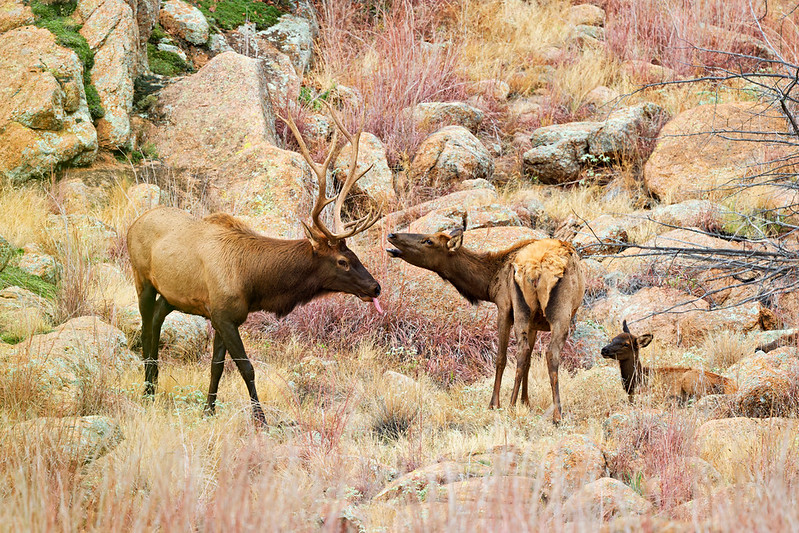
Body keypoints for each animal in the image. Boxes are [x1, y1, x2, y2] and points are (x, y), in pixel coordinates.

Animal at [127, 105, 382, 426]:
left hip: (174, 294)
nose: (376, 287)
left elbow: (217, 366)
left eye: (356, 255)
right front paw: (260, 419)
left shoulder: (223, 315)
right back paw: (147, 390)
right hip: (141, 279)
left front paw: (208, 410)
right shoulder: (223, 314)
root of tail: (134, 223)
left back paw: (153, 384)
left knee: (157, 319)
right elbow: (246, 367)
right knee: (146, 329)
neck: (253, 281)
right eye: (343, 261)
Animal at [386, 216, 585, 423]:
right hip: (543, 314)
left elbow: (502, 358)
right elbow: (525, 360)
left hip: (540, 311)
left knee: (530, 352)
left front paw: (494, 403)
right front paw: (525, 403)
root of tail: (536, 269)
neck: (489, 284)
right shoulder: (530, 321)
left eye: (429, 241)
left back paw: (527, 408)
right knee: (541, 353)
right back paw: (547, 412)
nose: (392, 235)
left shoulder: (504, 305)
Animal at [601, 320, 737, 404]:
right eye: (613, 339)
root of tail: (730, 384)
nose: (604, 350)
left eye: (626, 344)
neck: (636, 380)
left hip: (691, 380)